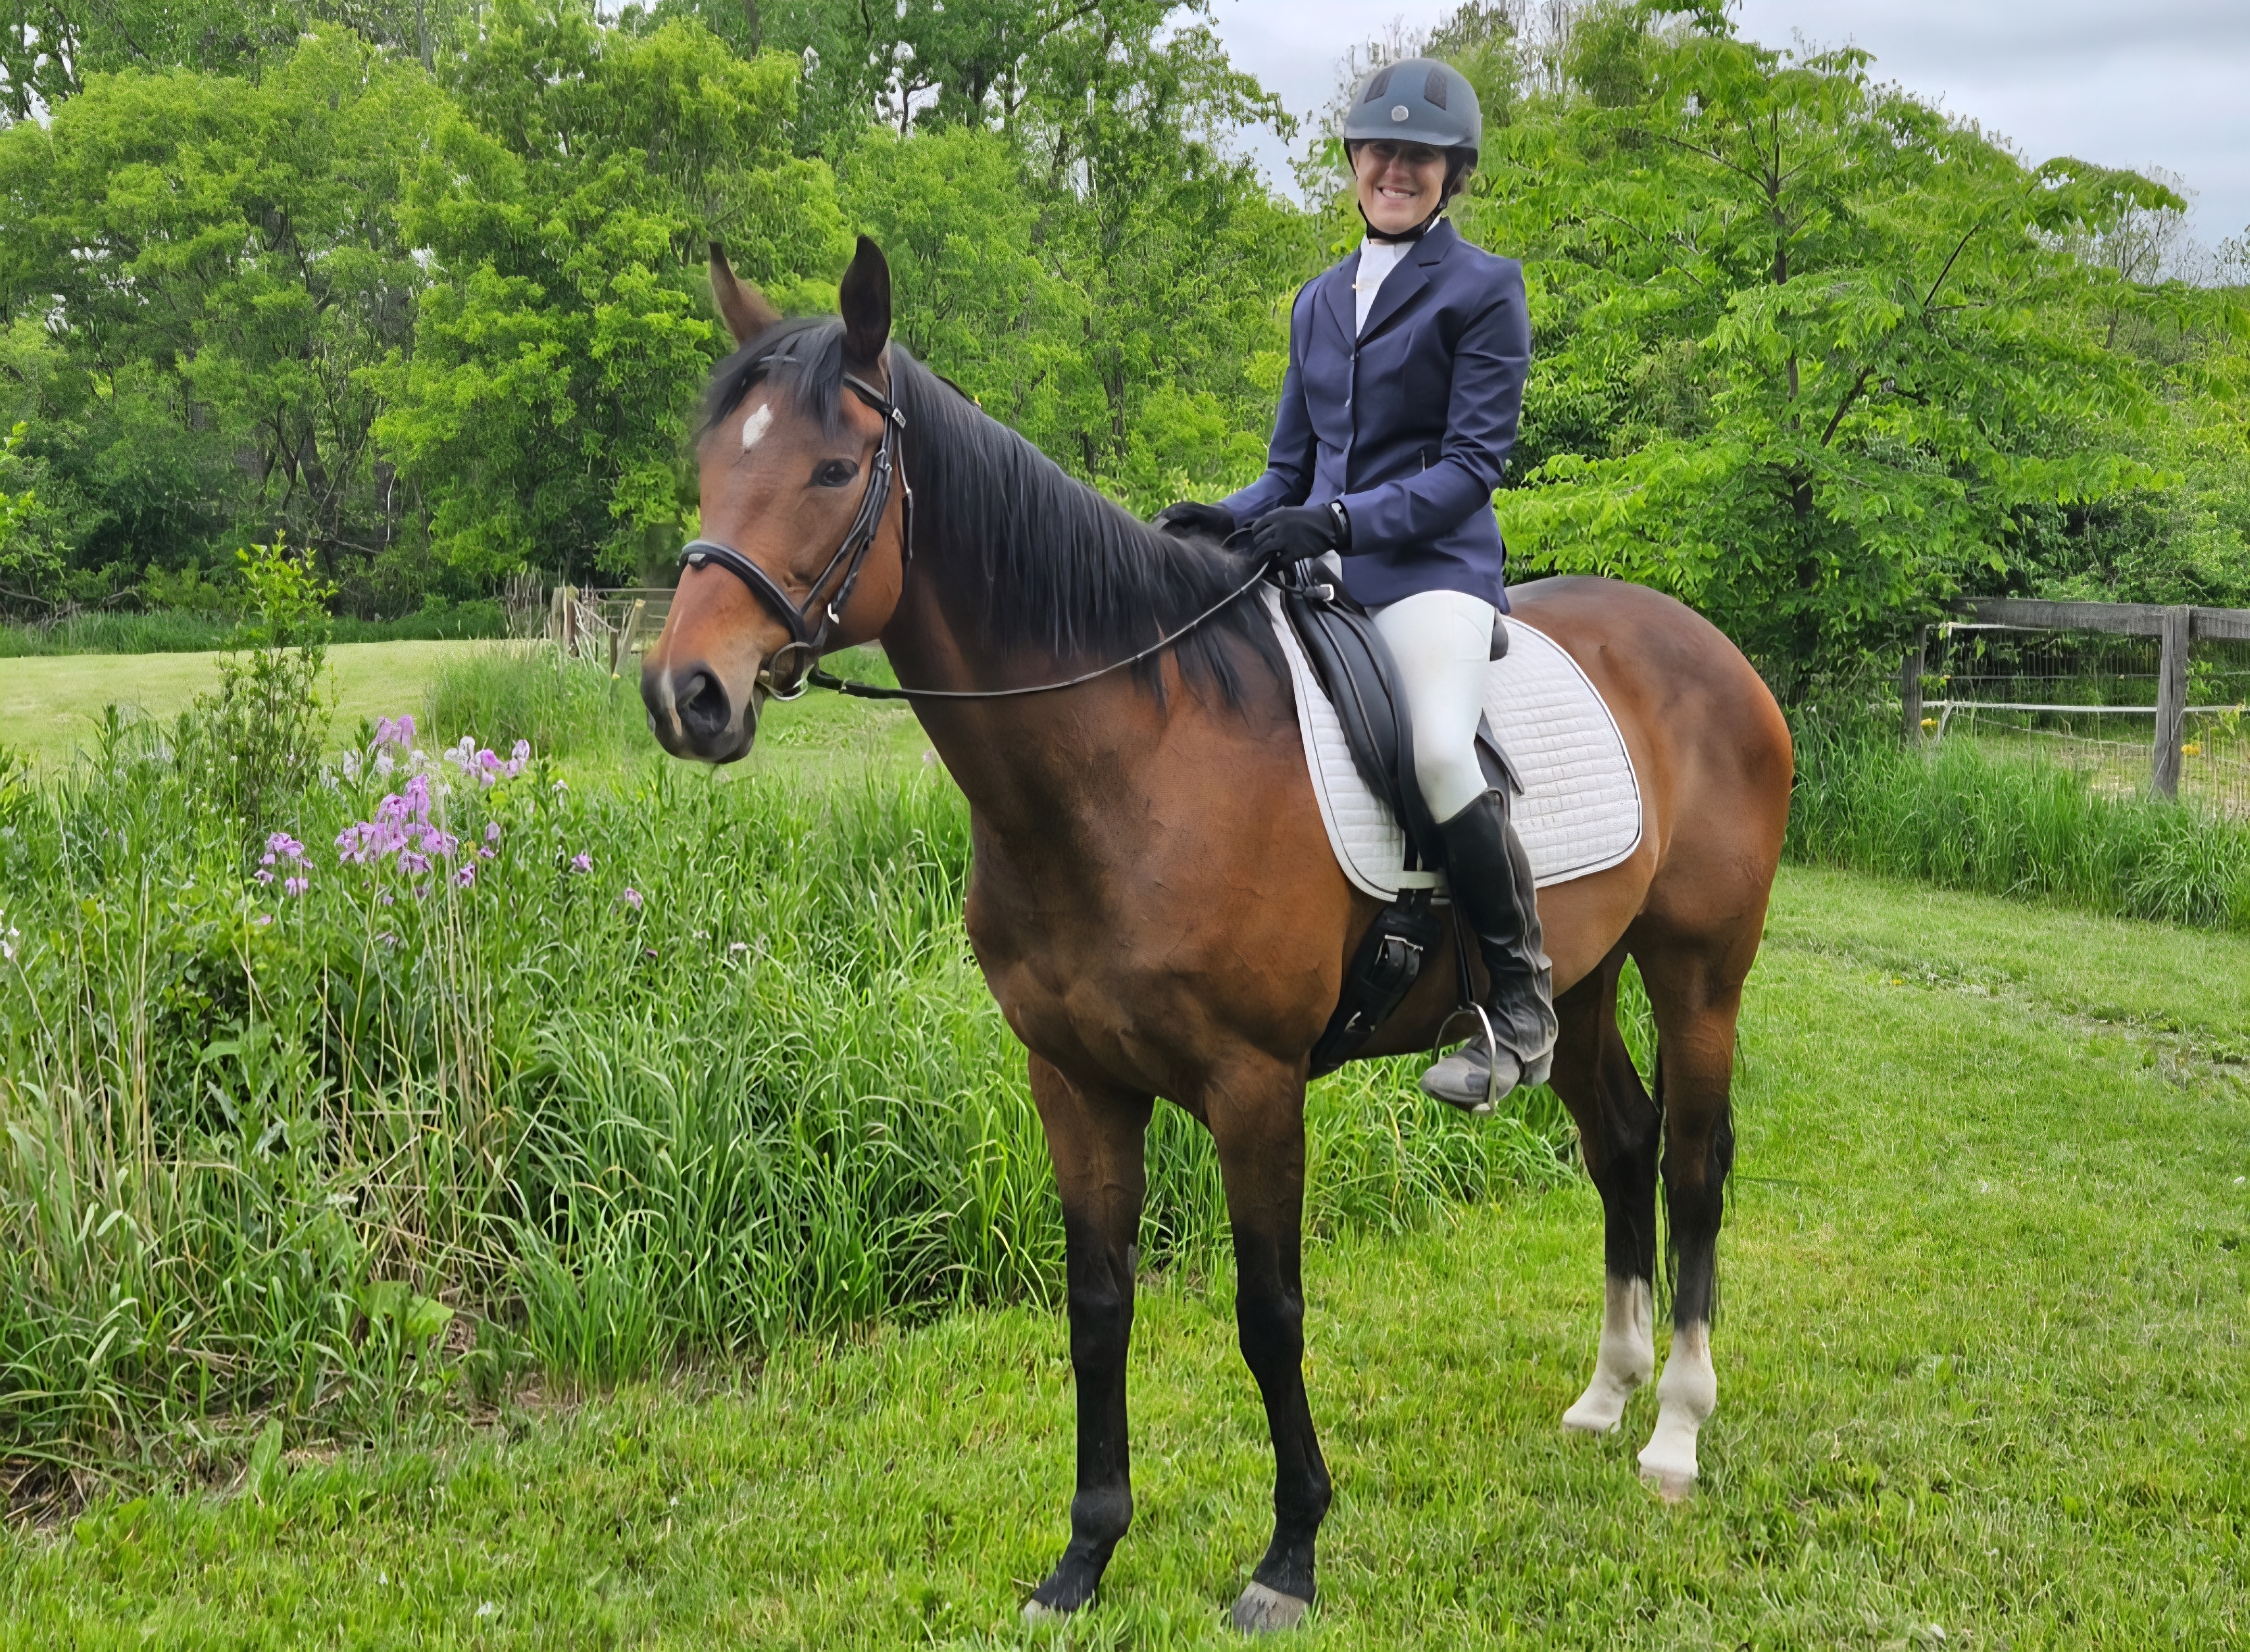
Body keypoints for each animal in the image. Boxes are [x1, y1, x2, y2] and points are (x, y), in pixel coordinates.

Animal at [642, 237, 1793, 1631]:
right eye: (714, 461)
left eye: (831, 468)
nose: (687, 695)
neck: (1132, 759)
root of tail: (1709, 647)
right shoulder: (1073, 1080)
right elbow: (1097, 1306)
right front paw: (1084, 1555)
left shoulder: (1255, 1087)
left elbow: (1269, 1311)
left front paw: (1289, 1556)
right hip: (1573, 987)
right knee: (1620, 1144)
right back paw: (1606, 1396)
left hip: (1699, 974)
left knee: (1690, 1165)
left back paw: (1674, 1429)